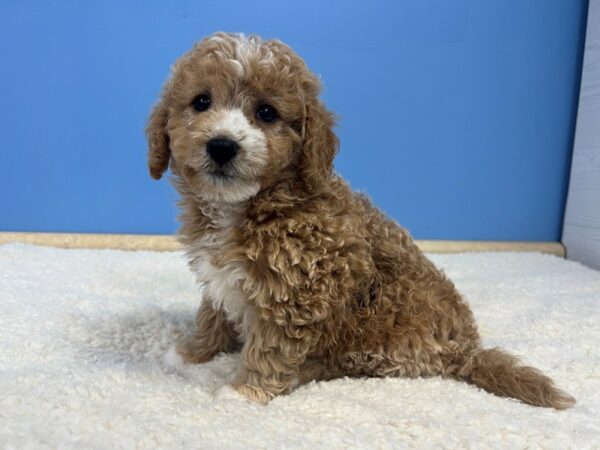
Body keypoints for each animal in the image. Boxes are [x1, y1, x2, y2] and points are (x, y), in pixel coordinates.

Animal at [148, 33, 576, 410]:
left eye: (266, 113)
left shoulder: (299, 291)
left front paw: (245, 393)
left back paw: (302, 372)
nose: (222, 145)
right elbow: (212, 313)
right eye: (201, 102)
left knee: (337, 364)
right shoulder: (220, 275)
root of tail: (466, 350)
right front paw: (193, 353)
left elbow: (271, 345)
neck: (248, 204)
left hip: (378, 334)